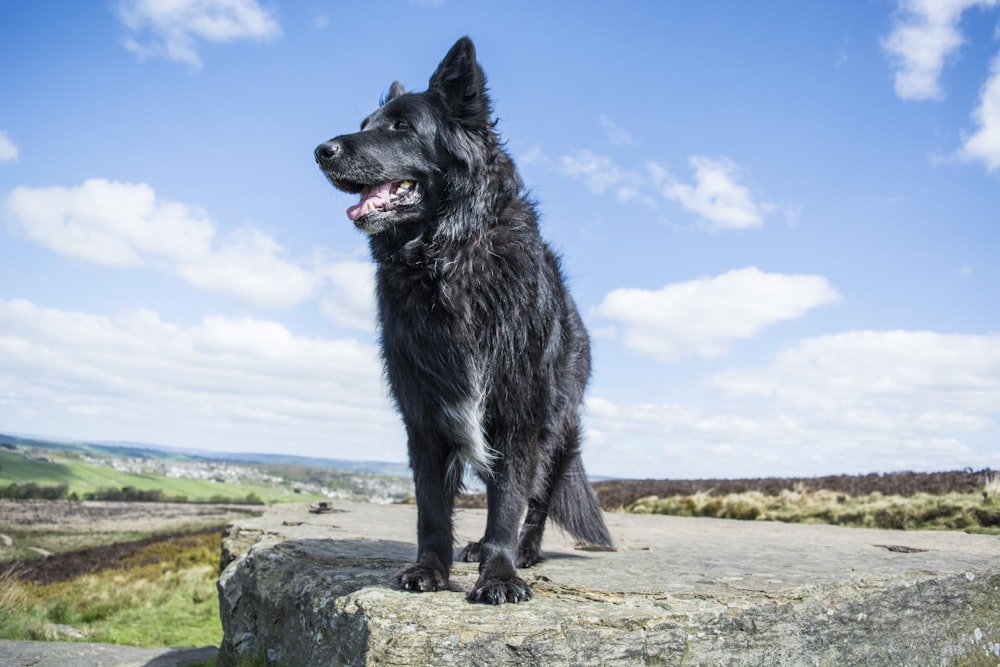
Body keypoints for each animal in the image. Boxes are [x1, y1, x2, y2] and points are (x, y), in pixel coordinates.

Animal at [314, 37, 608, 604]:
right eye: (365, 122)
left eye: (401, 126)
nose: (321, 151)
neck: (447, 261)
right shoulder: (425, 411)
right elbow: (431, 509)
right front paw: (430, 569)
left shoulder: (518, 413)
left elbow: (509, 502)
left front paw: (500, 574)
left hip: (559, 427)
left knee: (537, 500)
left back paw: (525, 551)